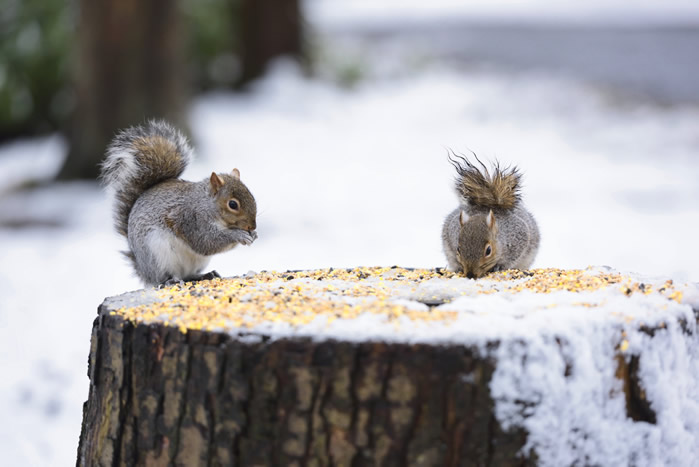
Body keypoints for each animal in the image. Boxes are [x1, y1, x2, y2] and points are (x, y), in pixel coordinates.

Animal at [100, 119, 258, 286]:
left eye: (252, 196)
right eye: (233, 204)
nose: (252, 226)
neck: (206, 205)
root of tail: (144, 271)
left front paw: (253, 234)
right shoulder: (190, 219)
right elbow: (206, 241)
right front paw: (239, 235)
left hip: (197, 262)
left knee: (188, 275)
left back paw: (205, 274)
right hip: (158, 255)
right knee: (163, 278)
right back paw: (171, 280)